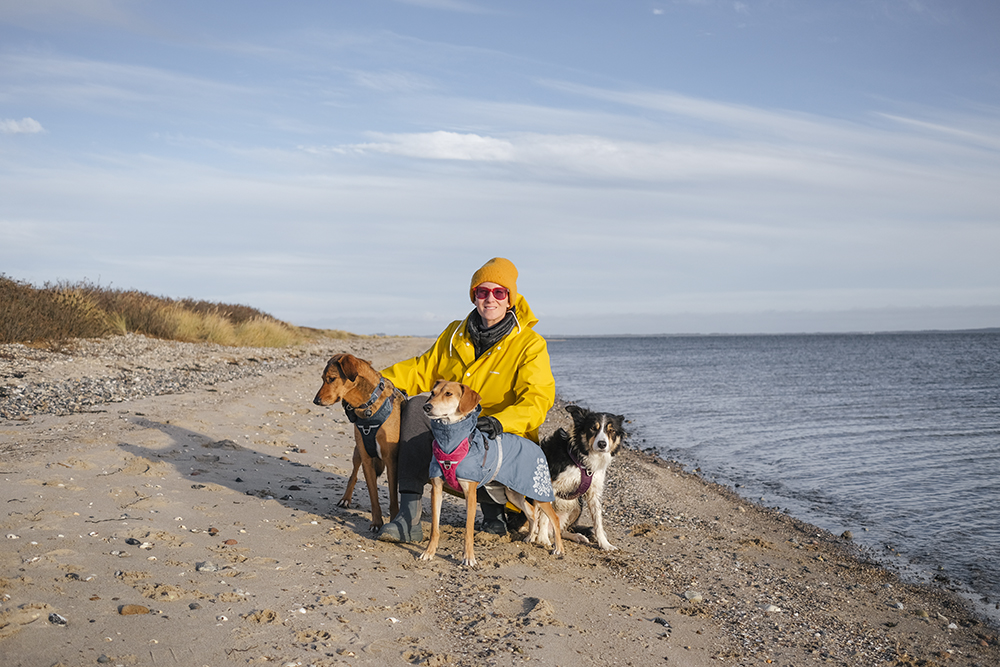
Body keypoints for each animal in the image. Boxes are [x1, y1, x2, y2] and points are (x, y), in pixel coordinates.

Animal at [314, 354, 404, 532]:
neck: (367, 406)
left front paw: (393, 521)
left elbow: (392, 498)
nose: (315, 401)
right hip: (357, 453)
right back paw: (345, 499)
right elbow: (373, 497)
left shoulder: (392, 460)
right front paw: (376, 523)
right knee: (353, 475)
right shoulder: (367, 460)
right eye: (322, 379)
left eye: (331, 379)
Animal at [420, 380, 564, 568]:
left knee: (554, 517)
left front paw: (469, 557)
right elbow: (434, 528)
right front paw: (429, 552)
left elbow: (468, 530)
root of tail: (536, 446)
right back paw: (530, 537)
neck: (452, 443)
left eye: (448, 394)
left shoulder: (470, 492)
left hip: (537, 491)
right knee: (532, 511)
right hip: (513, 493)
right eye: (432, 392)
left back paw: (558, 548)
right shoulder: (436, 489)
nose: (427, 406)